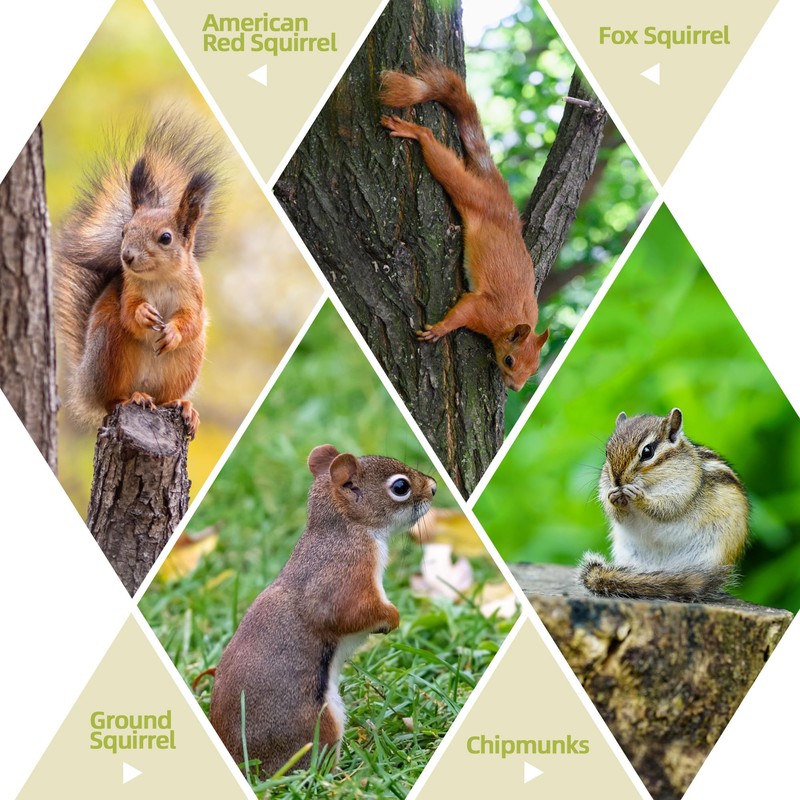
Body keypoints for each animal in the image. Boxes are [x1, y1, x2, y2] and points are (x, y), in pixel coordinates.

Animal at [53, 113, 224, 438]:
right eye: (124, 231)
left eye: (166, 238)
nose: (127, 256)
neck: (160, 278)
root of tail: (84, 386)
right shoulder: (129, 289)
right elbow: (129, 313)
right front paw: (144, 315)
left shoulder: (194, 294)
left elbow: (191, 322)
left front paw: (173, 332)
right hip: (110, 347)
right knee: (111, 399)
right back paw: (132, 397)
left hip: (187, 361)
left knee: (166, 396)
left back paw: (182, 406)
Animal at [209, 444, 437, 776]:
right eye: (400, 487)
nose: (433, 487)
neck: (347, 528)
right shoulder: (344, 574)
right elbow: (344, 613)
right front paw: (391, 618)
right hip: (318, 727)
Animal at [379, 60, 549, 391]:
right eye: (510, 360)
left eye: (535, 368)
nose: (515, 387)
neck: (509, 323)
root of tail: (499, 195)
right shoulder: (483, 310)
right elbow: (462, 311)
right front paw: (439, 329)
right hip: (471, 194)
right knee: (441, 159)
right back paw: (414, 132)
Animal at [580, 408, 749, 602]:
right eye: (607, 452)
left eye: (647, 452)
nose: (616, 481)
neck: (651, 484)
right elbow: (618, 514)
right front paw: (614, 500)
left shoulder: (683, 490)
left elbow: (666, 508)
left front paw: (639, 497)